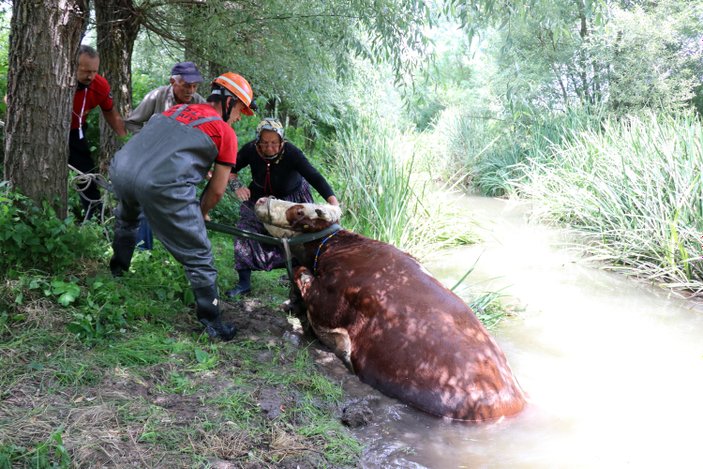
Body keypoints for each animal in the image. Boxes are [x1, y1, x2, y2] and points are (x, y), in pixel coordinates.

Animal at [256, 197, 524, 420]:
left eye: (299, 210)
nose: (261, 199)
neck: (334, 248)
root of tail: (516, 400)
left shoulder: (329, 302)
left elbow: (300, 273)